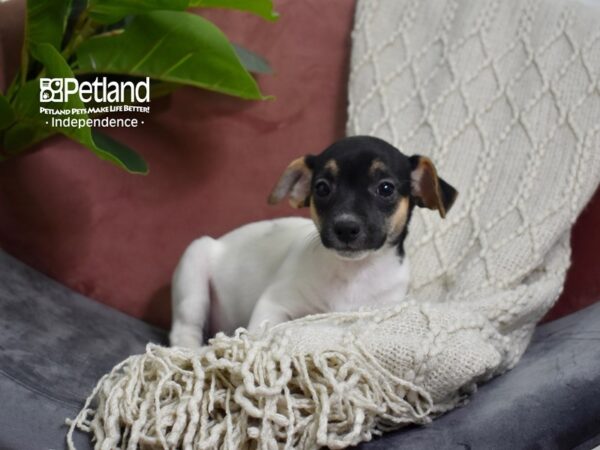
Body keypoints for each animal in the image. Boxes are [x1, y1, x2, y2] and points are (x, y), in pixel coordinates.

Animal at [171, 134, 458, 348]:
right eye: (321, 188)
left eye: (385, 188)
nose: (346, 227)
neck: (353, 272)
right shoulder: (275, 304)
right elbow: (263, 331)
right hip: (193, 276)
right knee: (184, 330)